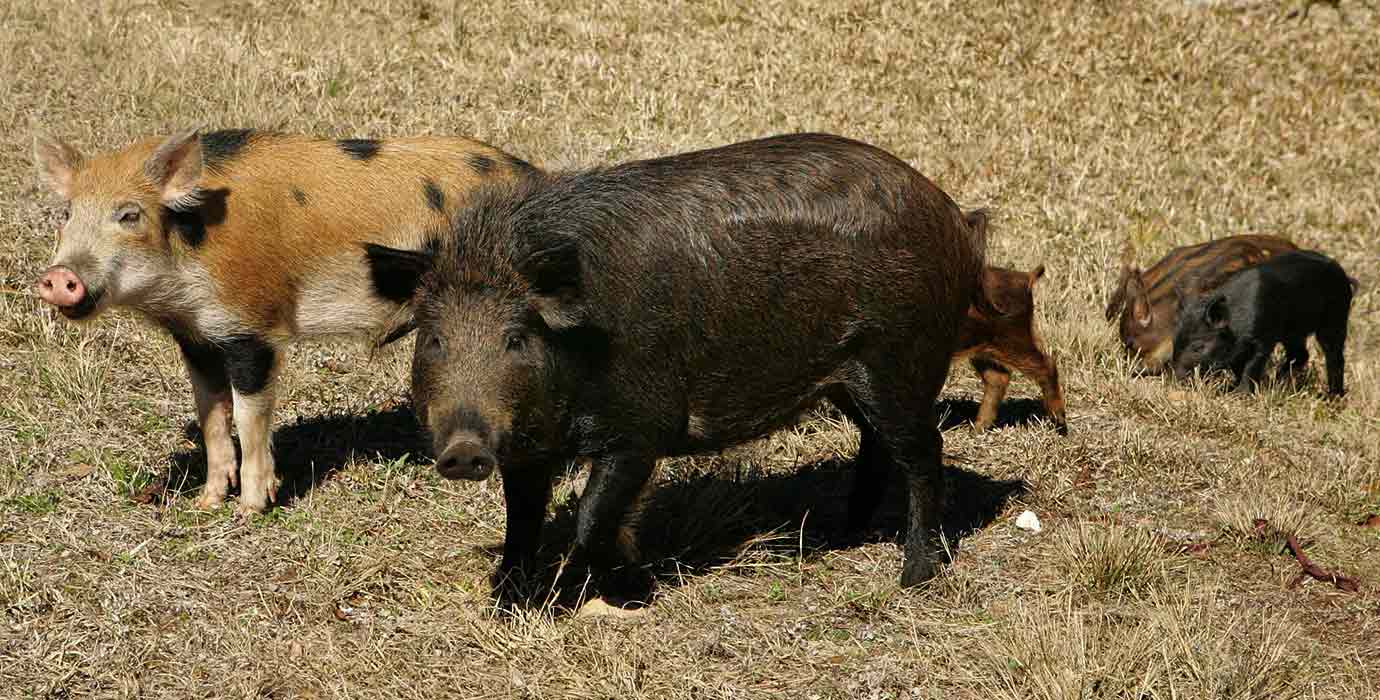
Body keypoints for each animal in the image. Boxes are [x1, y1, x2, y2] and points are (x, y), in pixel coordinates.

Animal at [32, 128, 536, 514]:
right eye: (67, 213)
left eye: (129, 214)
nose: (59, 276)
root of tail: (533, 175)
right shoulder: (196, 337)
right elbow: (211, 415)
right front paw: (206, 504)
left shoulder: (252, 328)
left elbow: (249, 415)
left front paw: (250, 510)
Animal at [370, 133, 991, 597]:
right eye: (434, 339)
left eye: (517, 339)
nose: (463, 450)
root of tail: (954, 216)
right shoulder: (529, 447)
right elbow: (521, 518)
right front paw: (509, 595)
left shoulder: (644, 428)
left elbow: (592, 514)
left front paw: (623, 586)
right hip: (849, 379)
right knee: (877, 445)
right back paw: (845, 529)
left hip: (900, 360)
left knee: (924, 451)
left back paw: (913, 576)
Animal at [954, 253, 1067, 435]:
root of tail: (1026, 277)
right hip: (987, 349)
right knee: (998, 378)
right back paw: (976, 430)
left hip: (1014, 339)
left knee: (1047, 364)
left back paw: (1061, 425)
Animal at [1171, 250, 1352, 396]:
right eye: (1175, 342)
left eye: (1198, 347)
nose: (1177, 378)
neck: (1237, 327)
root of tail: (1343, 274)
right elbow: (1238, 367)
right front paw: (1231, 389)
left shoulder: (1263, 338)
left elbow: (1252, 366)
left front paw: (1241, 394)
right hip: (1293, 332)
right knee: (1300, 354)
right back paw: (1277, 381)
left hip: (1336, 316)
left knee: (1334, 355)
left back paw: (1330, 397)